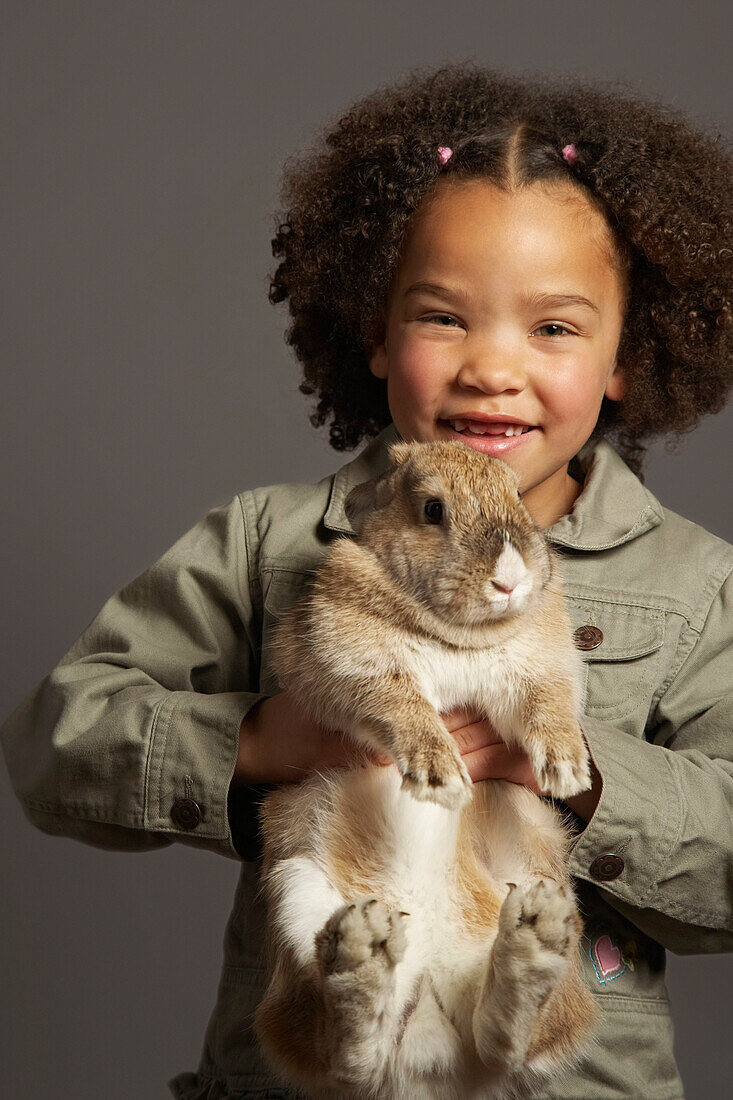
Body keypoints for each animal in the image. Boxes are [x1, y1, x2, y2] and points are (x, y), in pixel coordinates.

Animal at [254, 440, 598, 1100]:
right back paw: (364, 951)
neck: (459, 635)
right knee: (348, 1047)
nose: (511, 579)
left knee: (506, 1037)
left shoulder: (538, 670)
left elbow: (546, 708)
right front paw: (441, 779)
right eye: (432, 510)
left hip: (552, 913)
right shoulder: (354, 663)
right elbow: (401, 706)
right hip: (293, 898)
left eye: (518, 496)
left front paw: (568, 771)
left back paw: (532, 937)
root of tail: (433, 1064)